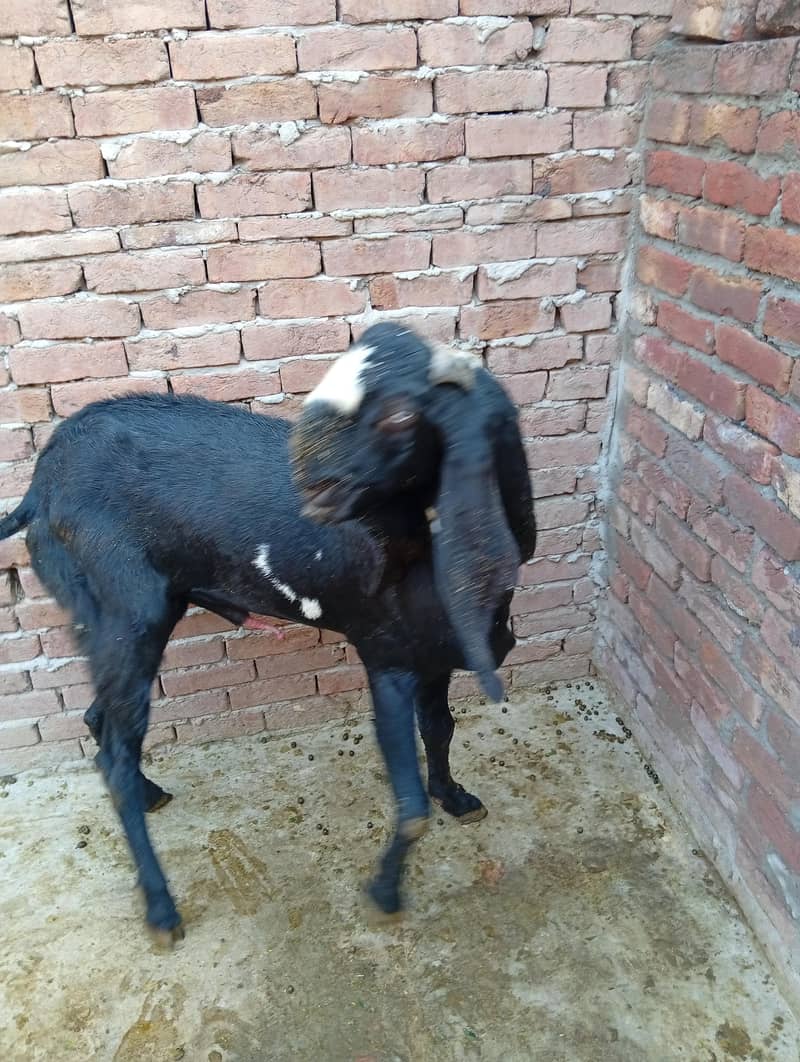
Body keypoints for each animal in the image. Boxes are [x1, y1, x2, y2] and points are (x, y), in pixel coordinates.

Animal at [0, 323, 536, 944]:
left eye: (402, 415)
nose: (307, 487)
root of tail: (38, 490)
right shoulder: (387, 657)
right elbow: (409, 806)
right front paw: (384, 893)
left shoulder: (434, 658)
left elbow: (442, 730)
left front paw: (454, 796)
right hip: (126, 612)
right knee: (114, 751)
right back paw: (161, 908)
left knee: (101, 724)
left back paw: (149, 794)